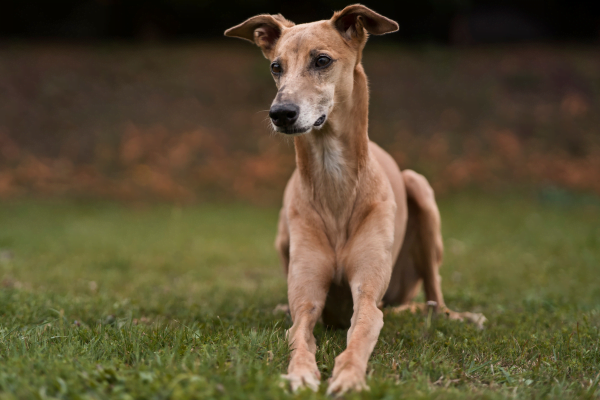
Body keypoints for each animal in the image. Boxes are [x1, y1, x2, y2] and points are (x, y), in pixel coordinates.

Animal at [224, 5, 482, 394]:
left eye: (322, 60)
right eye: (276, 66)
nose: (281, 114)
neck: (335, 185)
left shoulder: (367, 295)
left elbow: (361, 331)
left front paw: (348, 376)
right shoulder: (307, 300)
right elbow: (299, 333)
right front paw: (301, 373)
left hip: (419, 191)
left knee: (433, 300)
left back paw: (456, 315)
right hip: (284, 232)